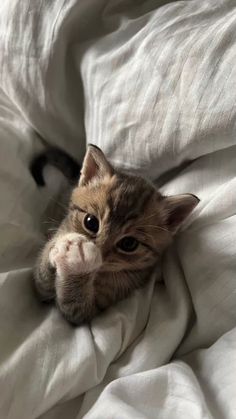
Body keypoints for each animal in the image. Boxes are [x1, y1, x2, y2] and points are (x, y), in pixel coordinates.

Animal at [32, 146, 199, 326]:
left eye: (129, 244)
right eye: (91, 222)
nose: (99, 251)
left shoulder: (91, 312)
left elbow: (74, 305)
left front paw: (77, 262)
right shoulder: (42, 289)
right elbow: (42, 277)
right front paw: (59, 247)